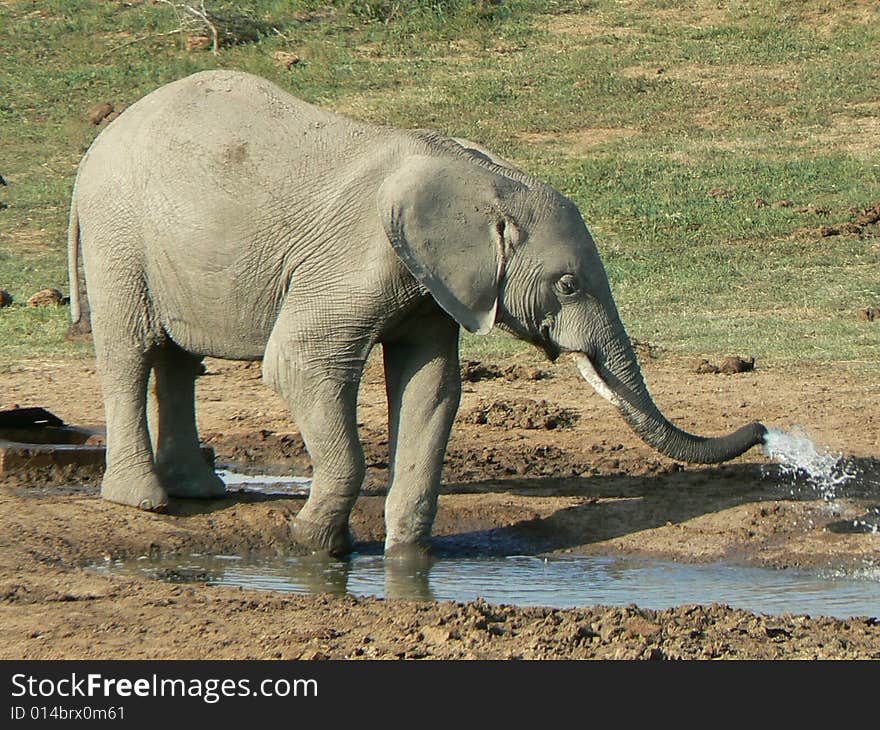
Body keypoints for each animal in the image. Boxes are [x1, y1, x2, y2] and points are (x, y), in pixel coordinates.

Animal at [67, 69, 764, 556]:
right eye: (567, 286)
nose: (762, 430)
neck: (482, 178)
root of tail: (98, 143)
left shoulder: (433, 283)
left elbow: (431, 387)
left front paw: (407, 553)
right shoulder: (359, 258)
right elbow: (301, 365)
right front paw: (312, 546)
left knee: (178, 360)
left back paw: (198, 491)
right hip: (117, 236)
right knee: (131, 352)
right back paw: (145, 503)